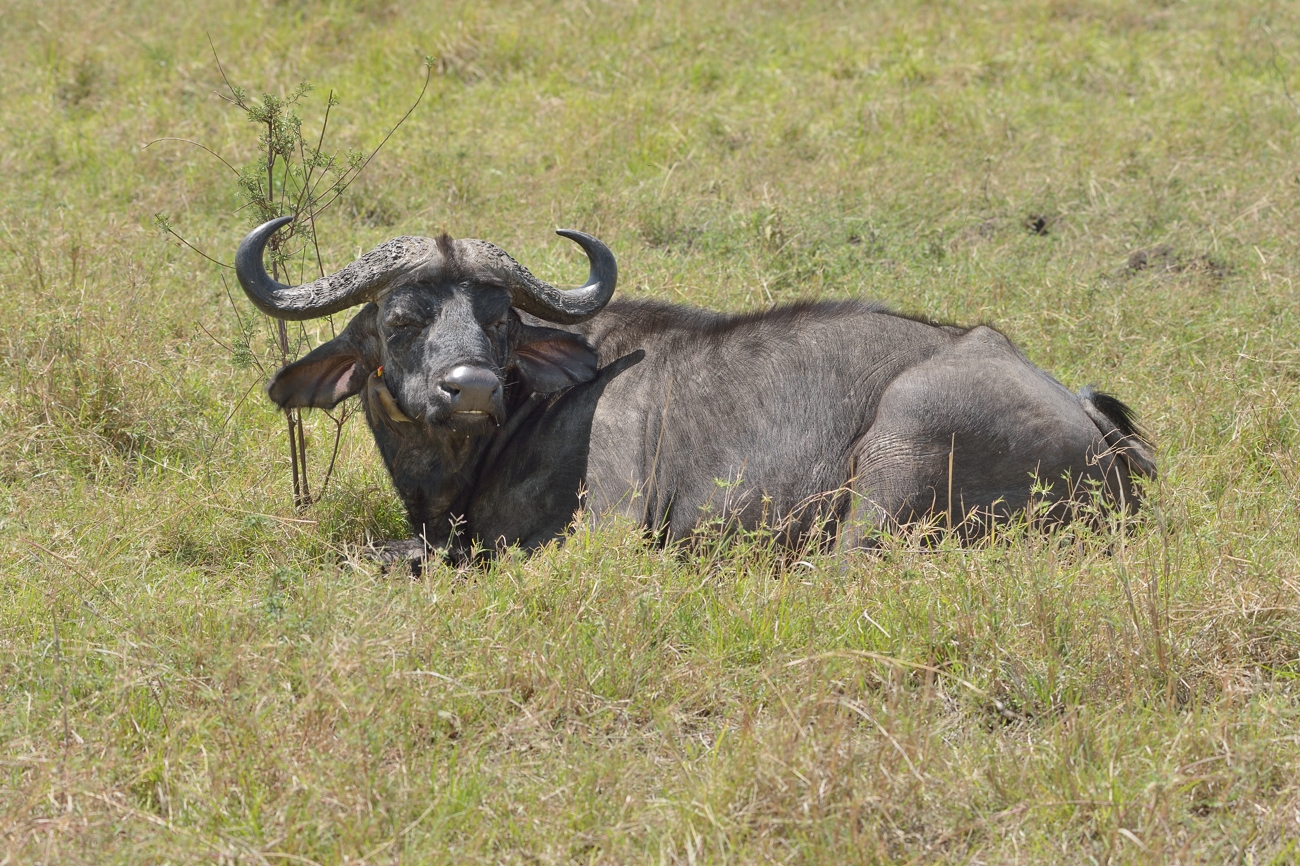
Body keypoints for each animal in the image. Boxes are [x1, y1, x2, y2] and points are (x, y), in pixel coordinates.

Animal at [239, 219, 1154, 564]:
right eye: (401, 320)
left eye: (498, 320)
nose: (469, 388)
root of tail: (1089, 418)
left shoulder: (603, 532)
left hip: (901, 449)